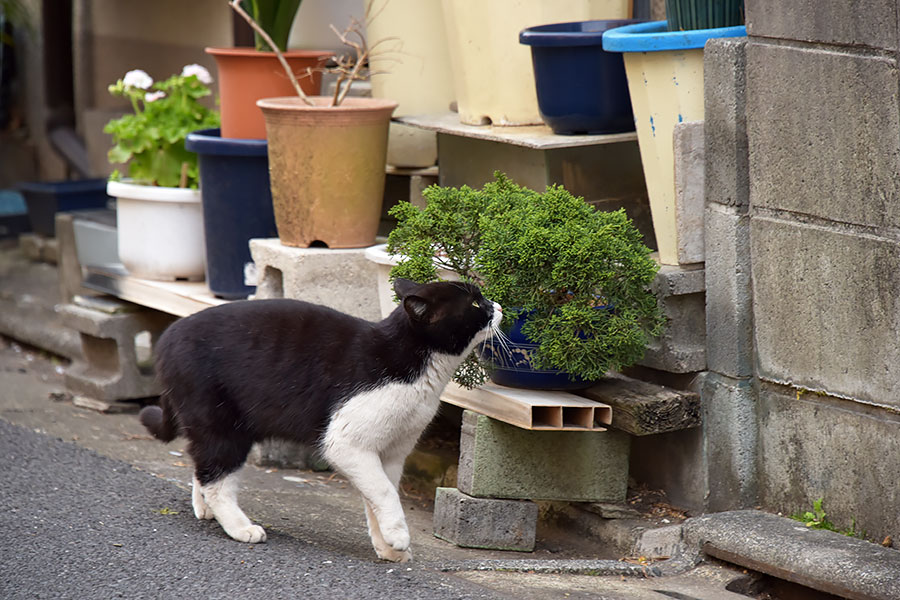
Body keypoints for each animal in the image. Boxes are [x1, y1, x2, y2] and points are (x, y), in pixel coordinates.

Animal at [144, 278, 502, 560]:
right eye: (474, 302)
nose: (498, 305)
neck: (417, 370)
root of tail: (167, 336)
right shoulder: (346, 442)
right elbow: (384, 492)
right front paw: (398, 537)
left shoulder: (392, 452)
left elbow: (379, 495)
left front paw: (386, 546)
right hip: (224, 425)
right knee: (217, 477)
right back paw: (240, 527)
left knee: (201, 464)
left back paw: (204, 508)